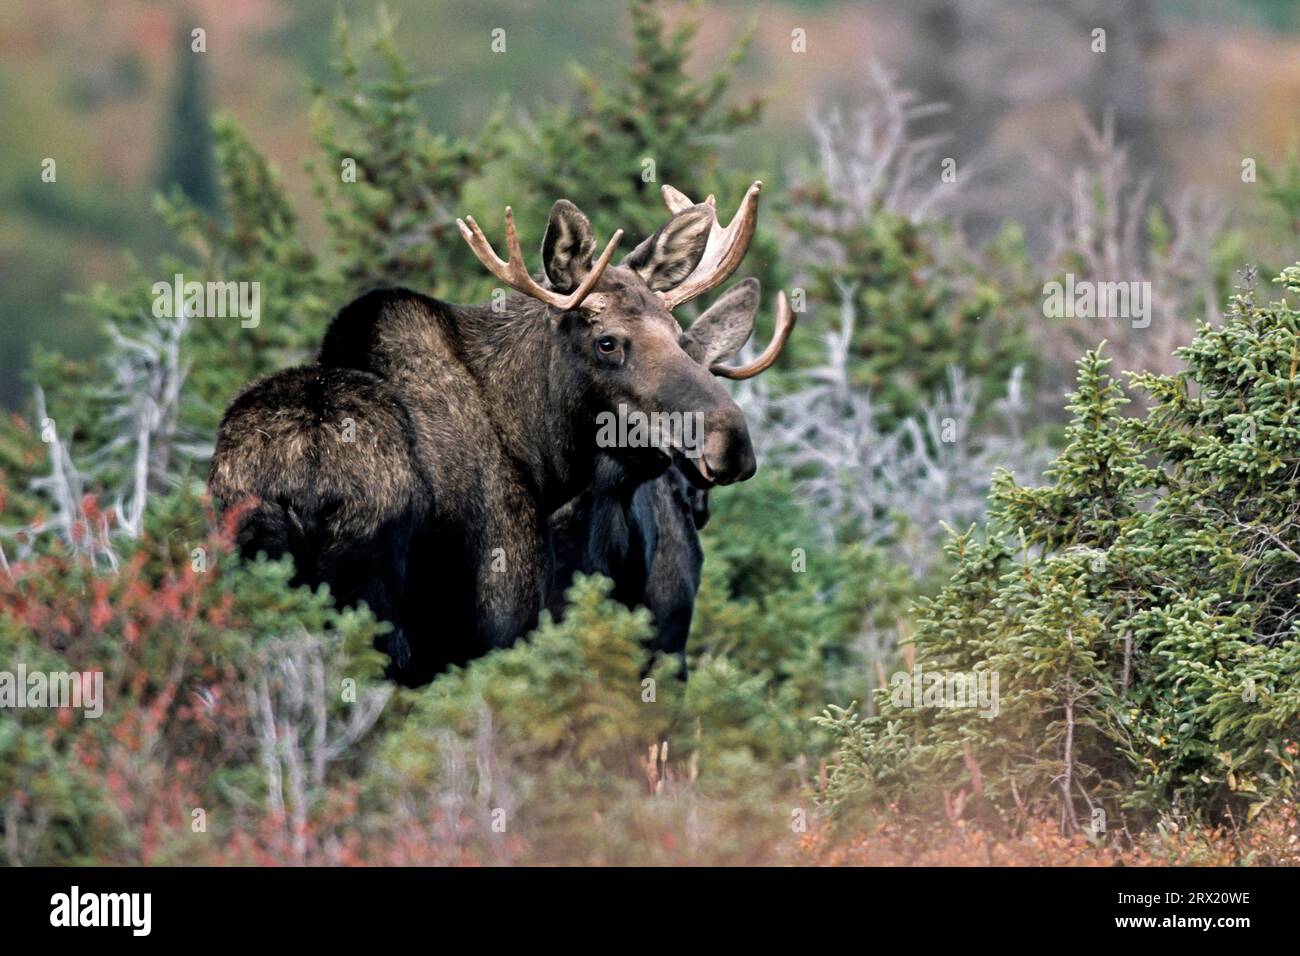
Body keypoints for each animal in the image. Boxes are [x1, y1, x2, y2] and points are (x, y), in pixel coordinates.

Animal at [210, 180, 790, 686]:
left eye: (675, 334)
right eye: (607, 341)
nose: (732, 443)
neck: (540, 456)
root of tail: (303, 488)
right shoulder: (500, 626)